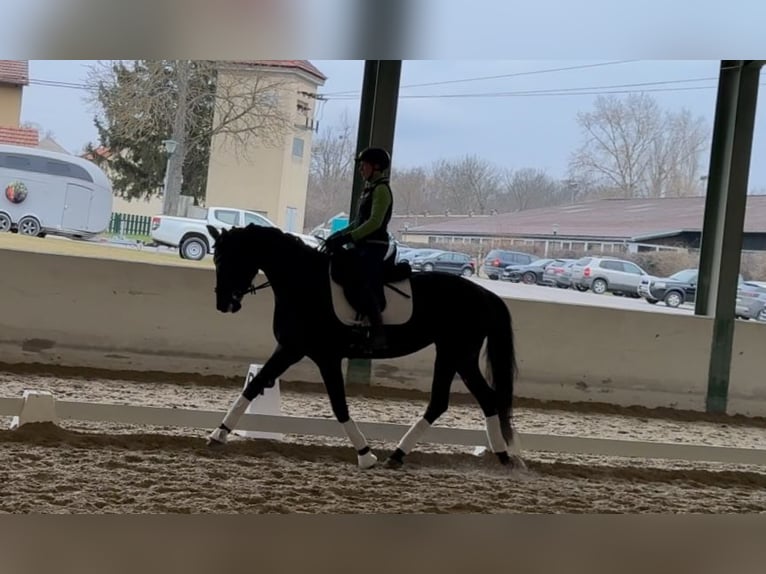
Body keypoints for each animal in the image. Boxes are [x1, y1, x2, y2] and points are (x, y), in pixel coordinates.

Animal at [206, 223, 528, 470]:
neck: (305, 284)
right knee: (476, 400)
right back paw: (496, 456)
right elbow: (254, 385)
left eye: (233, 259)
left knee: (456, 400)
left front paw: (365, 455)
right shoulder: (290, 348)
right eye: (216, 260)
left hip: (455, 352)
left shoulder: (325, 356)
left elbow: (339, 405)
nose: (224, 304)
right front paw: (218, 434)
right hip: (459, 355)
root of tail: (484, 294)